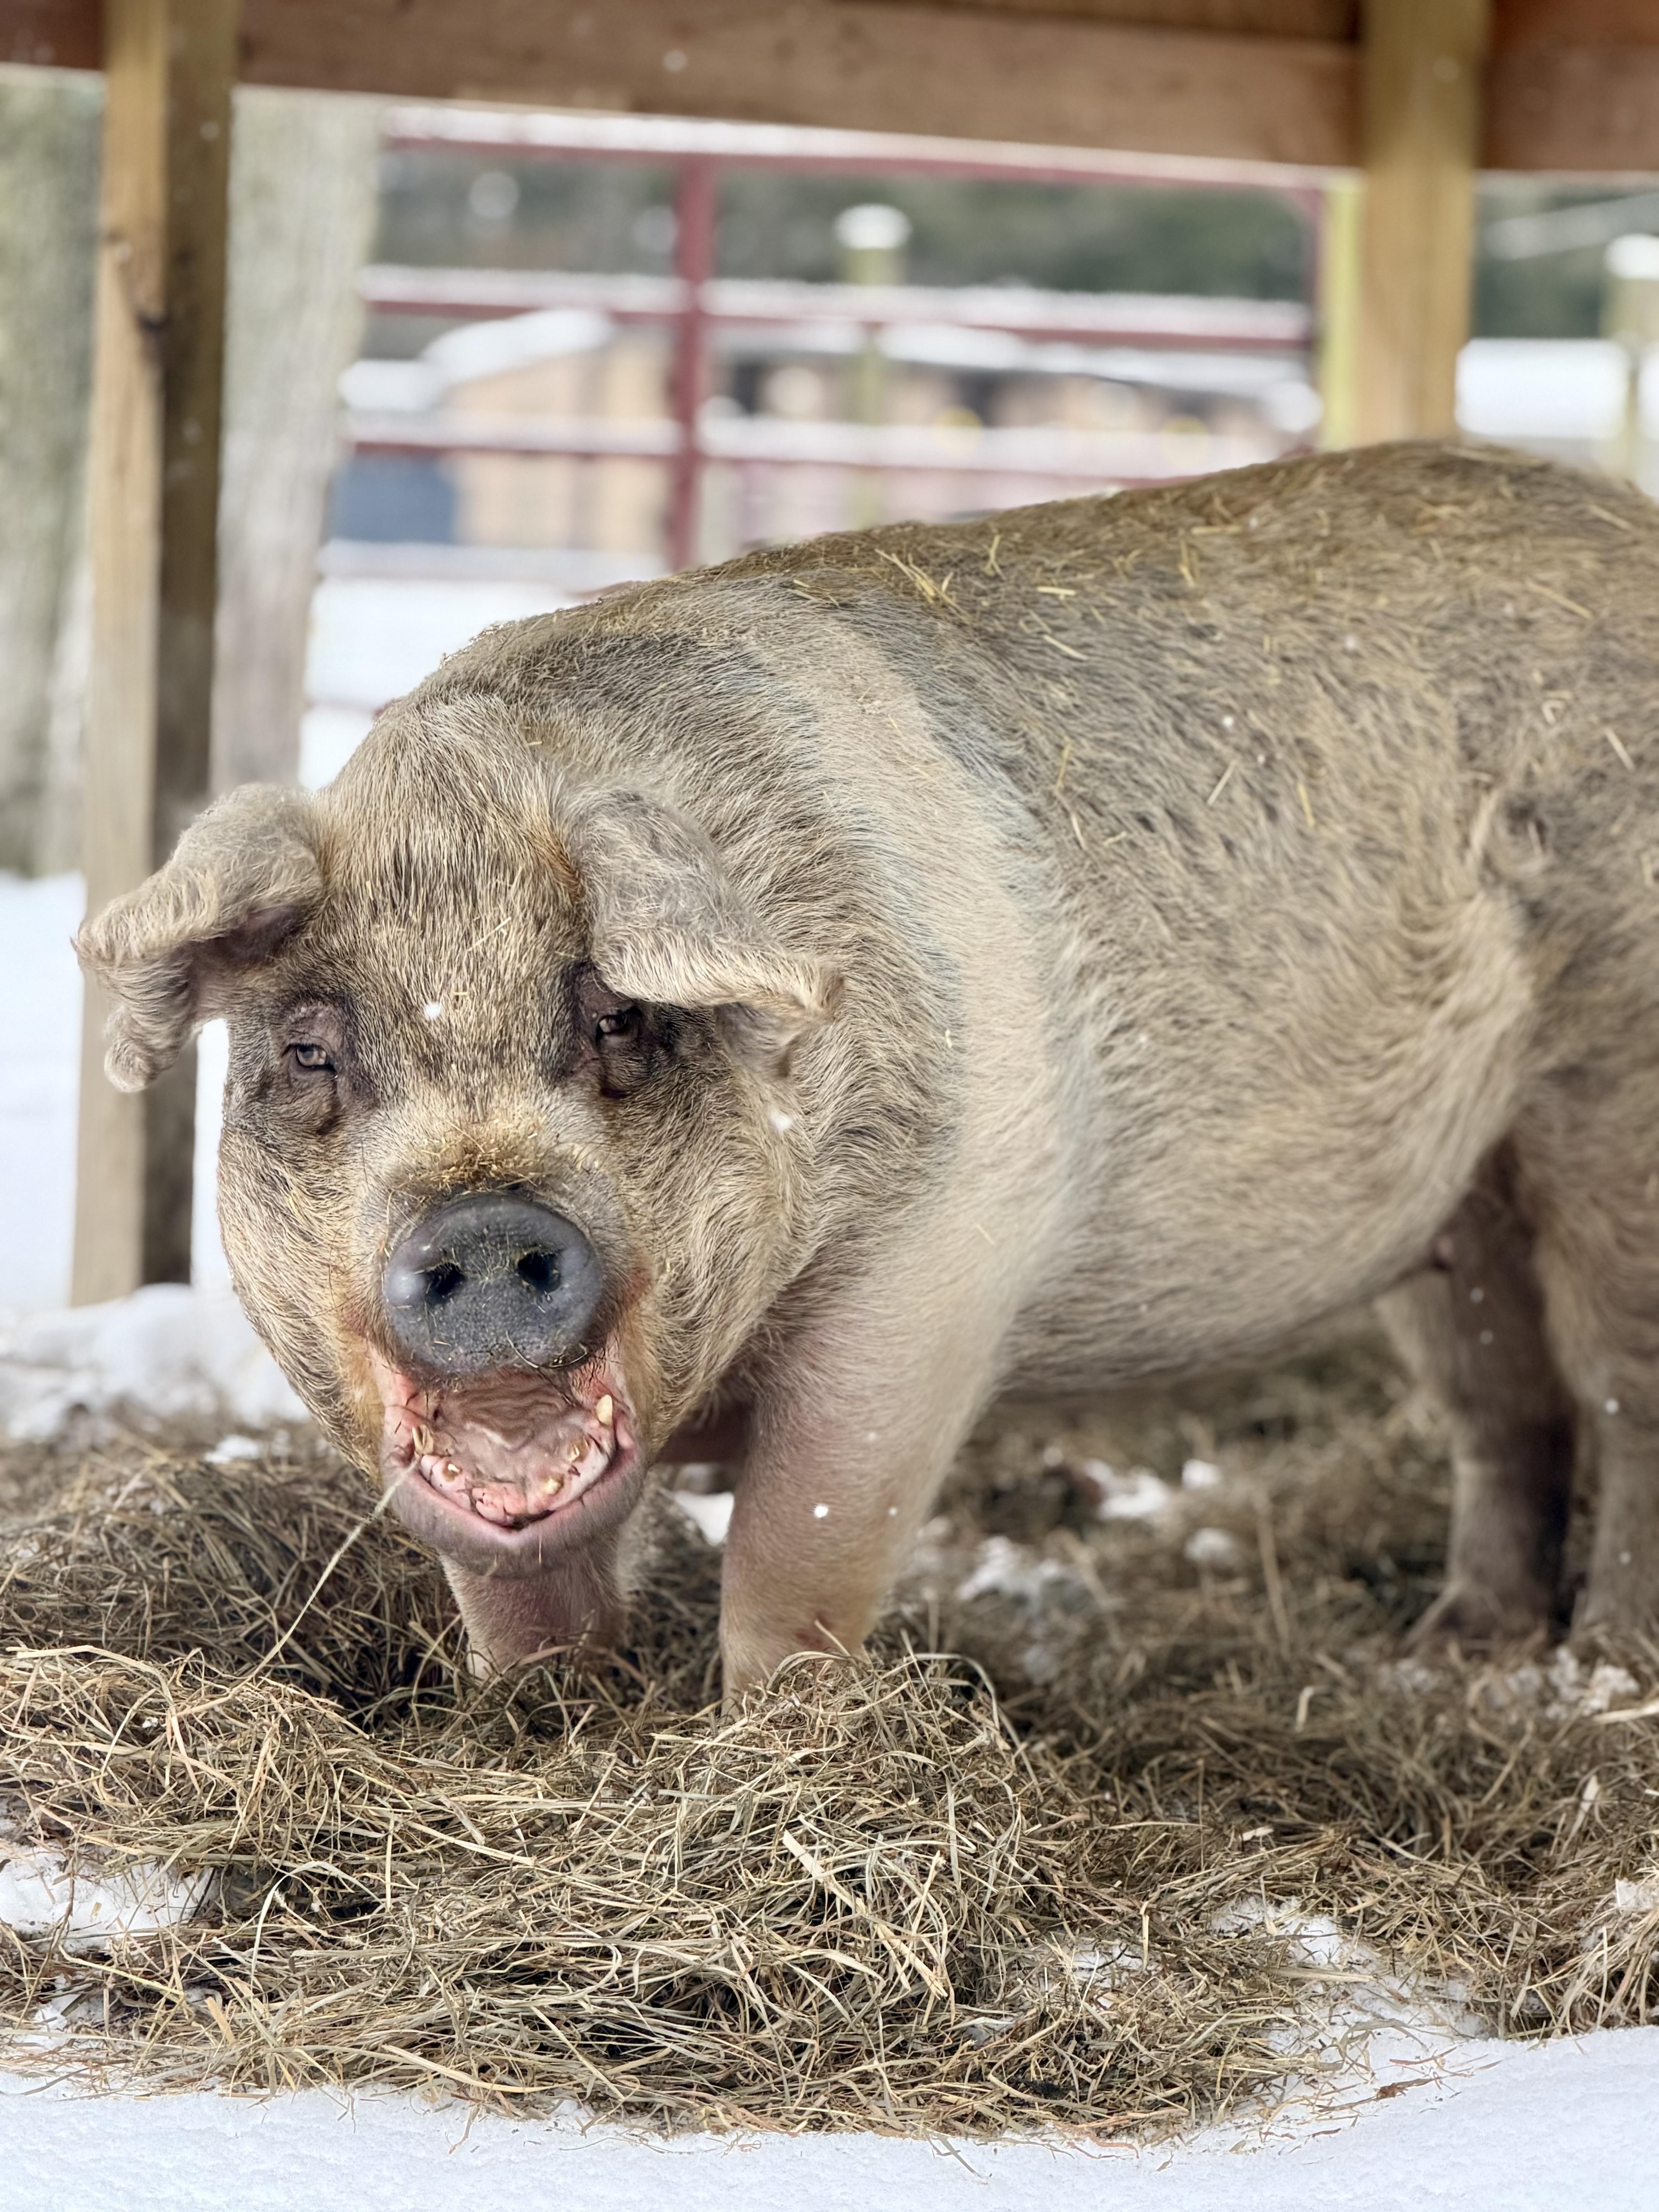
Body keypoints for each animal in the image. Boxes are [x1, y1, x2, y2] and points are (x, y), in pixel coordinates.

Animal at [75, 441, 1659, 1691]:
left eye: (620, 1019)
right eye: (307, 1047)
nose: (481, 1219)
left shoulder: (938, 1264)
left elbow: (803, 1543)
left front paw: (774, 1735)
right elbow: (520, 1596)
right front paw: (545, 1717)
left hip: (1614, 1085)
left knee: (1616, 1383)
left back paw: (1598, 1672)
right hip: (1465, 1188)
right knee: (1500, 1402)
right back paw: (1459, 1645)